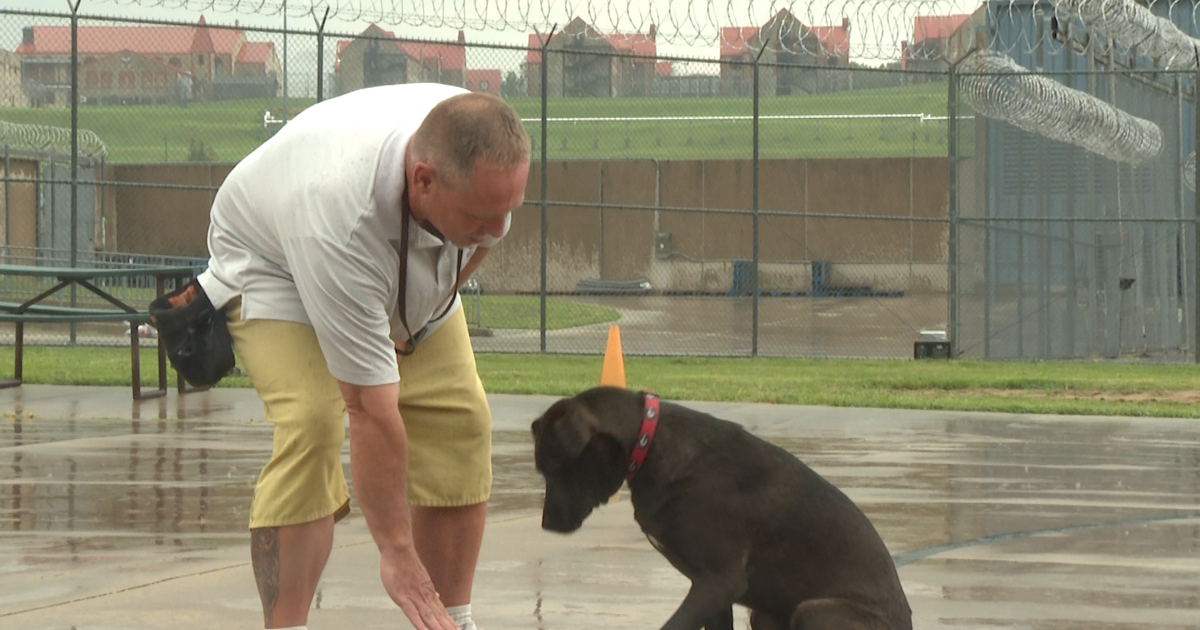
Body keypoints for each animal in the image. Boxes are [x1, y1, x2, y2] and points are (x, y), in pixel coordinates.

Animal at [530, 386, 912, 624]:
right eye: (542, 471)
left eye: (557, 467)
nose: (547, 524)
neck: (648, 444)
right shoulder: (710, 590)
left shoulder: (717, 583)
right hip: (765, 614)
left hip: (814, 610)